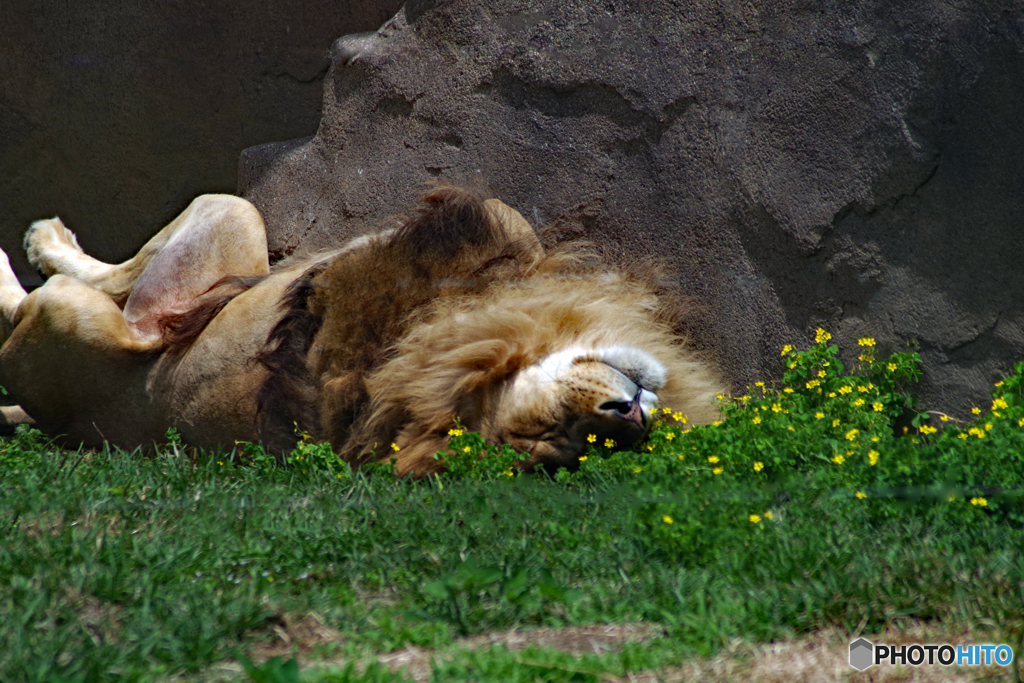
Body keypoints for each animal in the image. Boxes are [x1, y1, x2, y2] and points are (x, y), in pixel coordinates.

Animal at [0, 187, 724, 475]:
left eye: (577, 447)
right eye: (547, 425)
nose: (629, 419)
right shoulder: (481, 234)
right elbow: (518, 222)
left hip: (217, 233)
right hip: (232, 224)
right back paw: (39, 239)